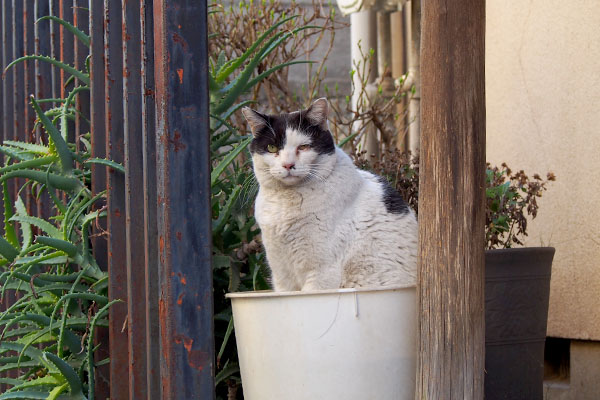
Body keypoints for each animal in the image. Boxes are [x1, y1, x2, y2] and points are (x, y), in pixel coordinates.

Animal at [240, 97, 418, 290]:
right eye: (272, 147)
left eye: (304, 147)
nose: (288, 165)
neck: (285, 202)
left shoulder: (322, 272)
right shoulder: (281, 275)